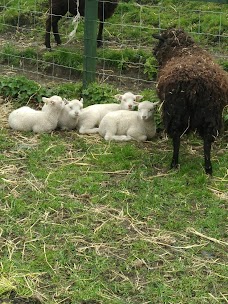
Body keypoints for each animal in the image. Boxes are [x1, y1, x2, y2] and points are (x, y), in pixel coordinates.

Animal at [152, 28, 228, 176]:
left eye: (160, 41)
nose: (153, 51)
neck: (182, 49)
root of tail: (195, 86)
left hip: (175, 110)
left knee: (176, 136)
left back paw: (174, 163)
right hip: (211, 112)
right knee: (208, 140)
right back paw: (208, 168)